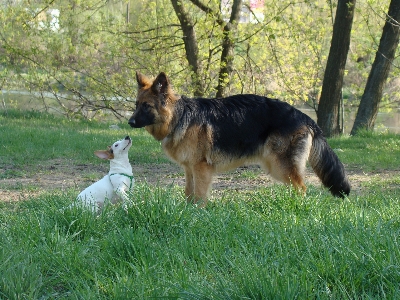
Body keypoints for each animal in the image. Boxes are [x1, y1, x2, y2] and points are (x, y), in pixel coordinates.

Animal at [129, 71, 350, 205]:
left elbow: (199, 196)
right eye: (136, 105)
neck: (180, 116)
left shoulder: (201, 168)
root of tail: (304, 117)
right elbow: (189, 193)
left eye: (146, 106)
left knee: (302, 188)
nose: (130, 122)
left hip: (280, 165)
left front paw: (197, 215)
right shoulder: (190, 168)